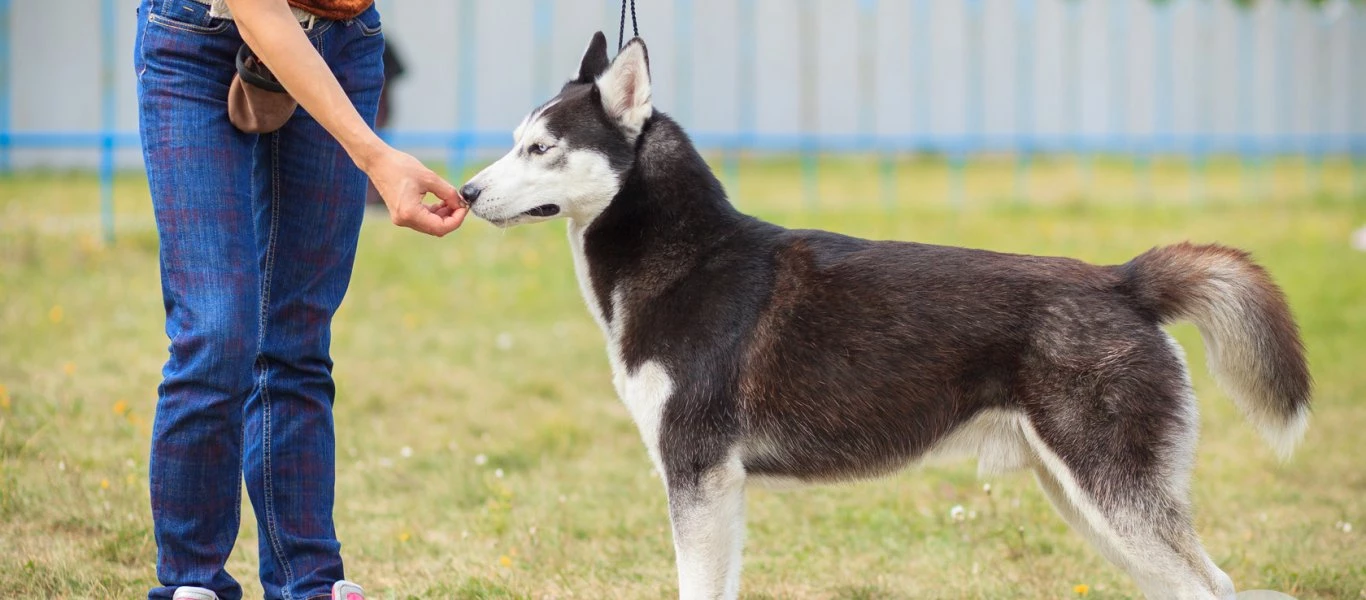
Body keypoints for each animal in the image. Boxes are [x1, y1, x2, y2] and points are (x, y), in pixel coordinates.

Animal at [461, 33, 1311, 600]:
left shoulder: (698, 475)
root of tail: (1122, 280)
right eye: (515, 141)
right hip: (1082, 499)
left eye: (541, 148)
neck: (685, 259)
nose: (465, 192)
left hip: (1114, 495)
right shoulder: (715, 487)